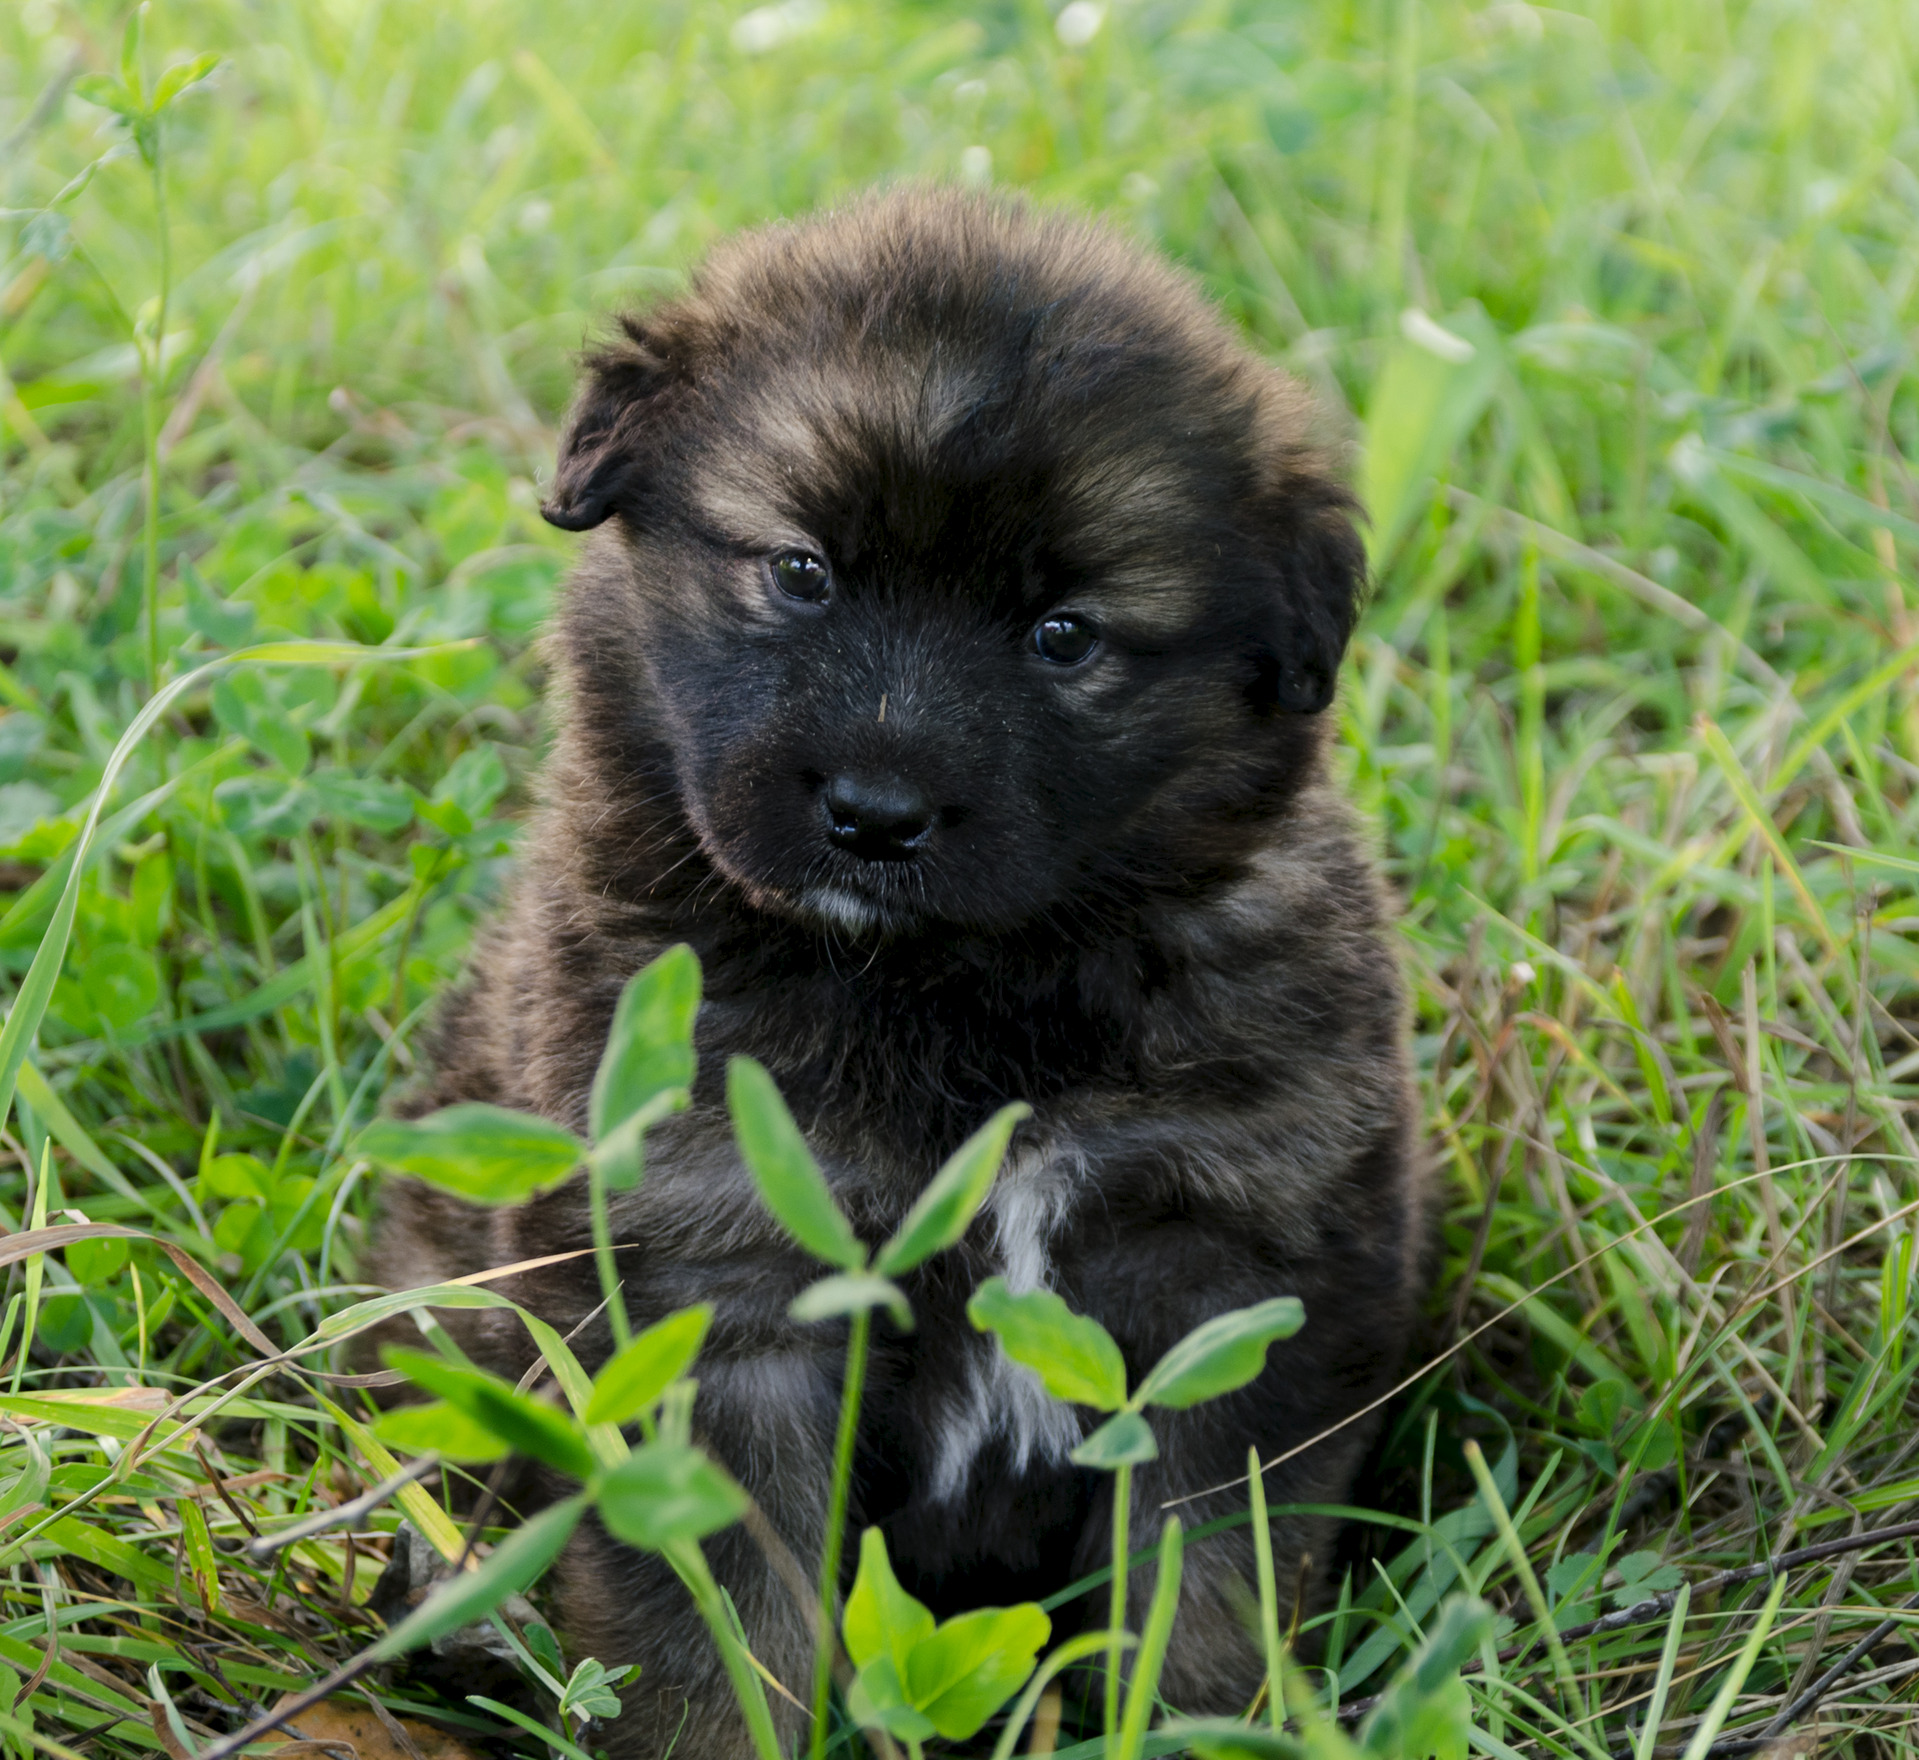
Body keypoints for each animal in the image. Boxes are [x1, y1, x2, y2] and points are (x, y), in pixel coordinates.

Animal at [370, 191, 1427, 1758]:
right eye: (800, 572)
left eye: (1064, 635)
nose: (874, 813)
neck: (950, 988)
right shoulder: (717, 1285)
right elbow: (718, 1622)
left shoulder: (1232, 1280)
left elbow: (1202, 1591)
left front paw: (1187, 1722)